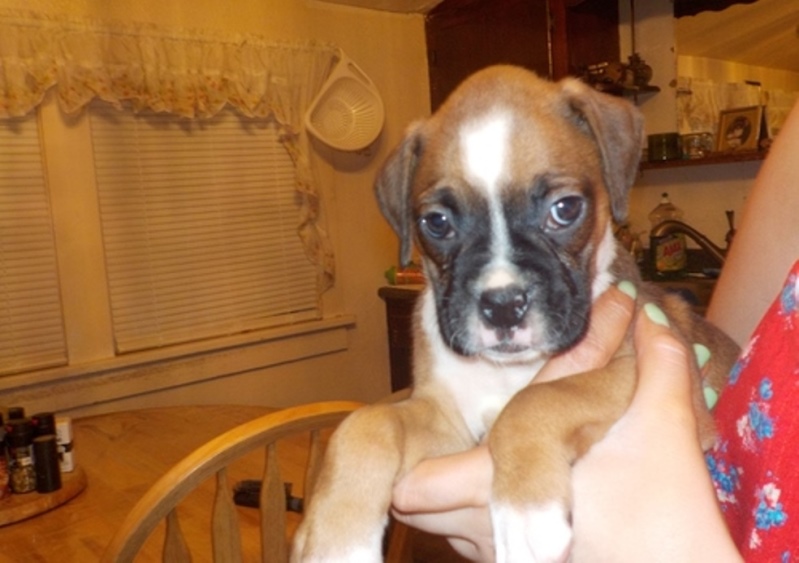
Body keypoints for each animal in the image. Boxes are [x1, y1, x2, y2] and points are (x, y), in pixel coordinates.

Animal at [290, 66, 740, 563]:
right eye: (437, 223)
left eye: (565, 209)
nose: (503, 306)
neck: (506, 371)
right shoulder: (446, 420)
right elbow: (365, 423)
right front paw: (335, 540)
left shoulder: (641, 372)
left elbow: (535, 400)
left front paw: (528, 520)